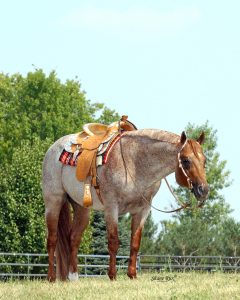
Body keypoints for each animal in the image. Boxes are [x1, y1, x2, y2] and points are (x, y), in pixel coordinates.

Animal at [42, 128, 208, 282]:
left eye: (204, 160)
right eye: (186, 160)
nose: (204, 190)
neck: (135, 164)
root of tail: (53, 149)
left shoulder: (142, 210)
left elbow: (135, 243)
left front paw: (132, 275)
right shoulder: (111, 207)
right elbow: (113, 242)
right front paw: (112, 276)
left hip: (82, 209)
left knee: (74, 239)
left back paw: (73, 277)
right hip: (53, 202)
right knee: (52, 240)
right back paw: (51, 277)